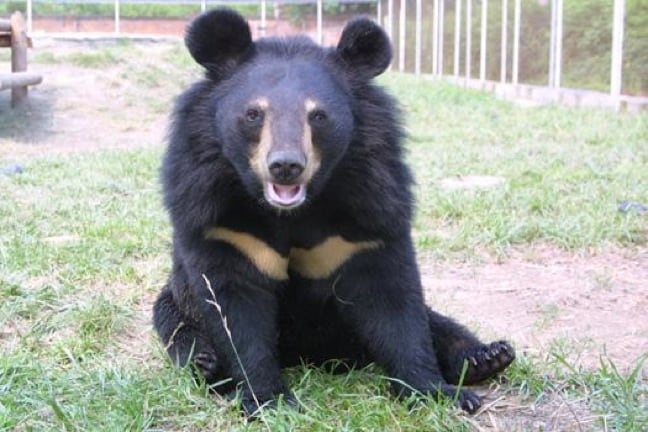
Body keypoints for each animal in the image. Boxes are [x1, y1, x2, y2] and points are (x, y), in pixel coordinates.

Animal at [154, 8, 512, 416]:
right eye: (253, 114)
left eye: (319, 116)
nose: (286, 166)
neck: (292, 210)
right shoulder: (219, 221)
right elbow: (237, 311)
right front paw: (268, 400)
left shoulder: (371, 211)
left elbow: (395, 305)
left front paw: (436, 392)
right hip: (172, 303)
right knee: (183, 334)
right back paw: (205, 364)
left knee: (436, 321)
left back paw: (488, 357)